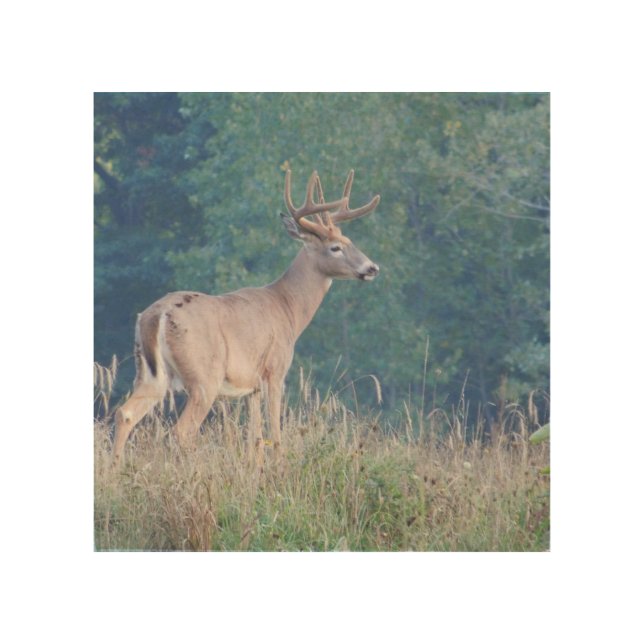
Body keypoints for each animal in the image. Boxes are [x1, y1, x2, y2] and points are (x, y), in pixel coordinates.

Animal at [111, 169, 381, 466]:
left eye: (349, 241)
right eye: (335, 247)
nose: (372, 267)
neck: (288, 308)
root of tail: (157, 315)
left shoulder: (251, 387)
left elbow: (256, 440)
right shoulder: (275, 370)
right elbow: (275, 434)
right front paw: (280, 468)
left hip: (150, 372)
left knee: (125, 413)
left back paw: (116, 468)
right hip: (204, 377)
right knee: (182, 431)